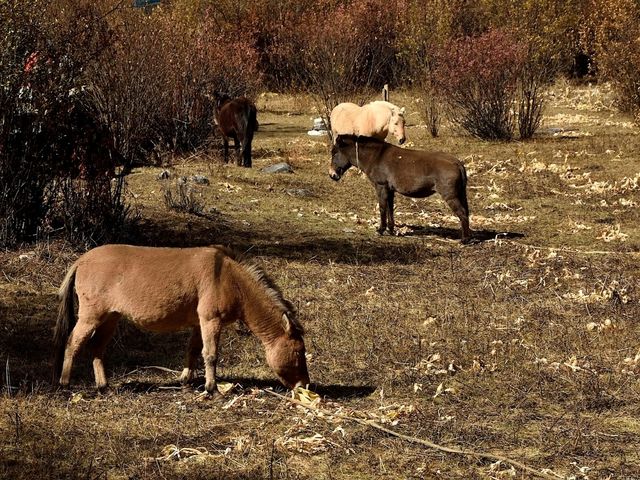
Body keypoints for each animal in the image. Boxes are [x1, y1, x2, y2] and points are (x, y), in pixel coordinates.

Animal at [330, 135, 470, 242]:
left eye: (334, 153)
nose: (332, 175)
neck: (376, 156)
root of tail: (457, 163)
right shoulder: (390, 190)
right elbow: (390, 209)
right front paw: (391, 230)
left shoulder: (381, 187)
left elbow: (382, 208)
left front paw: (380, 230)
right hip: (460, 194)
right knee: (466, 213)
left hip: (450, 196)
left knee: (462, 214)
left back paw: (464, 240)